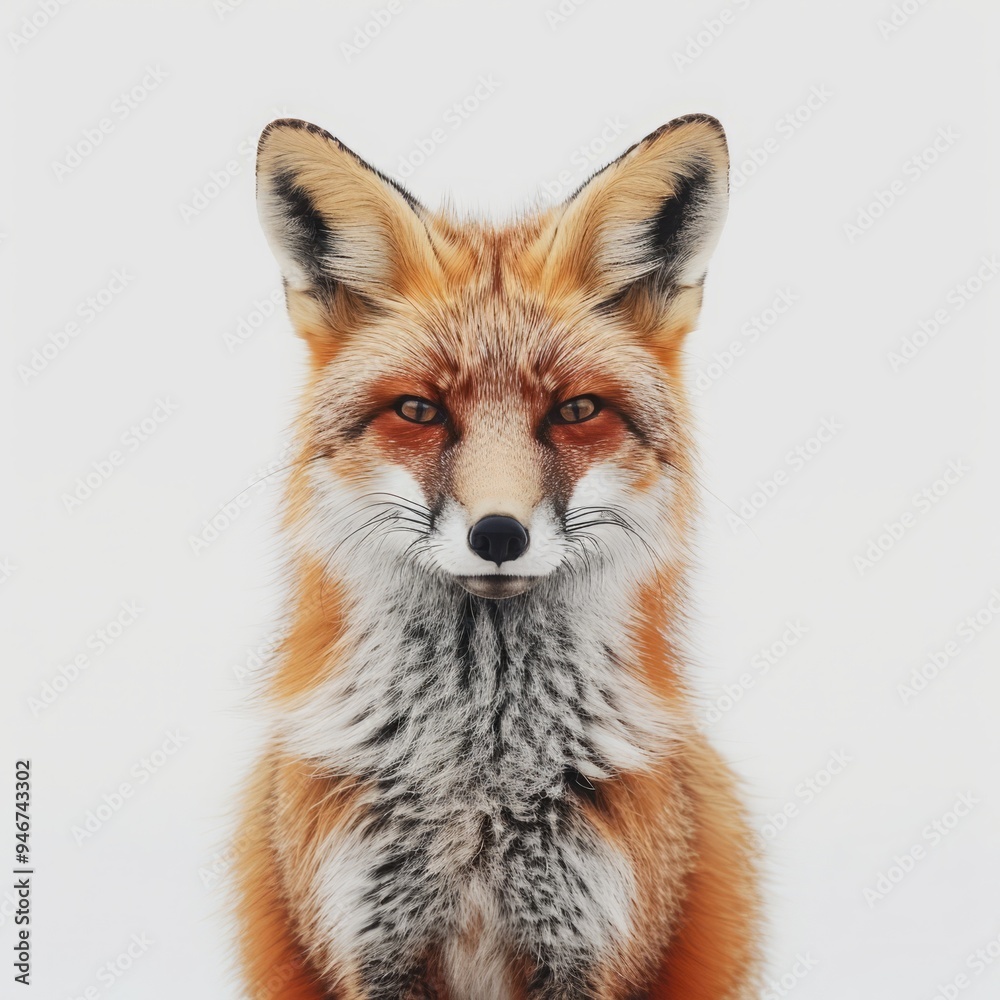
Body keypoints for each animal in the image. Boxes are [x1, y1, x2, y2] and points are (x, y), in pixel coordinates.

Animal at [233, 113, 761, 1000]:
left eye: (576, 410)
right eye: (419, 410)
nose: (499, 535)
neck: (478, 789)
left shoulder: (586, 942)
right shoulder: (372, 942)